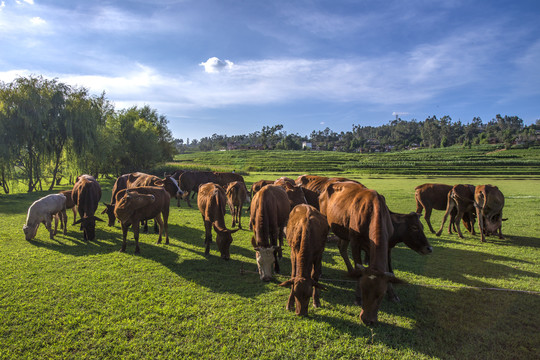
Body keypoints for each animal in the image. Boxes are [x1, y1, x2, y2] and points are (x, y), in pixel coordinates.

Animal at [318, 181, 402, 324]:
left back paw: (350, 270)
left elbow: (387, 268)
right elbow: (358, 265)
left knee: (341, 247)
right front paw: (357, 298)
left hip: (344, 231)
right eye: (363, 290)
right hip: (326, 222)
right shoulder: (355, 242)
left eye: (380, 295)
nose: (367, 320)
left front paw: (393, 294)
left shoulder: (387, 244)